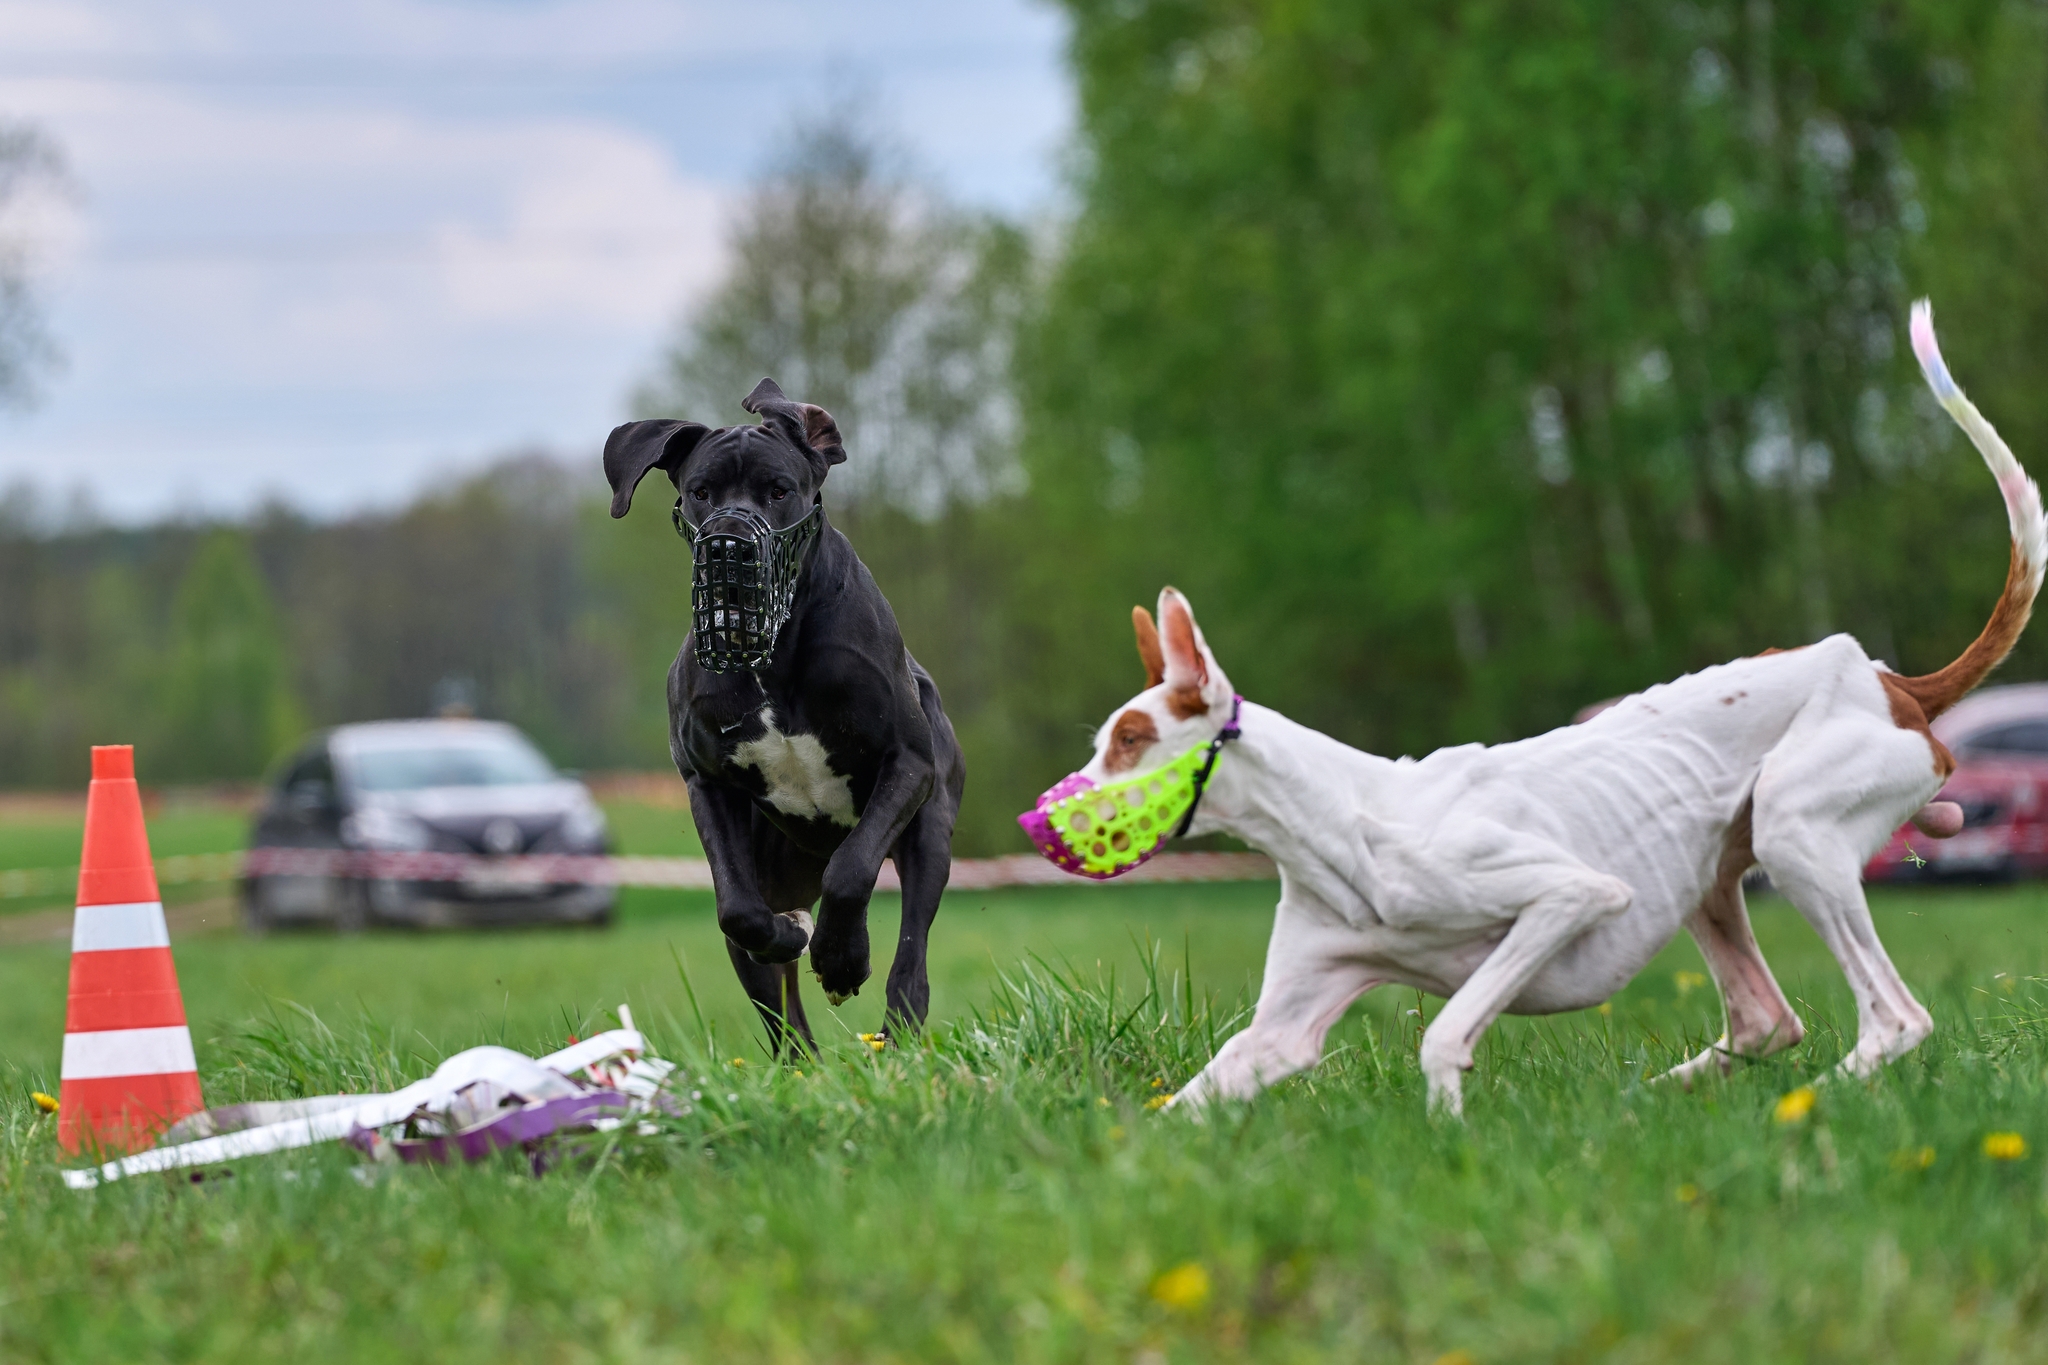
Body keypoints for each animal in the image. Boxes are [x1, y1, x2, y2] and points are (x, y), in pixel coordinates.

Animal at [602, 378, 962, 1055]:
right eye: (701, 491)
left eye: (777, 490)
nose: (729, 543)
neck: (777, 648)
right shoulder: (708, 783)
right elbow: (739, 913)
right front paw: (795, 934)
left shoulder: (907, 764)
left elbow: (852, 870)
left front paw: (842, 960)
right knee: (778, 1003)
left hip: (931, 833)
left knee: (911, 959)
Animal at [1064, 304, 2039, 1113]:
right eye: (1109, 736)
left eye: (1133, 739)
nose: (1049, 814)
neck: (1342, 827)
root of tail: (1888, 680)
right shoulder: (1280, 1030)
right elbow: (1187, 1107)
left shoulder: (1570, 896)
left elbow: (1443, 1031)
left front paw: (1451, 1129)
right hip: (1715, 870)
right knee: (1768, 1021)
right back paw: (1659, 1097)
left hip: (1796, 832)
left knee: (1895, 1020)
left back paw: (1801, 1107)